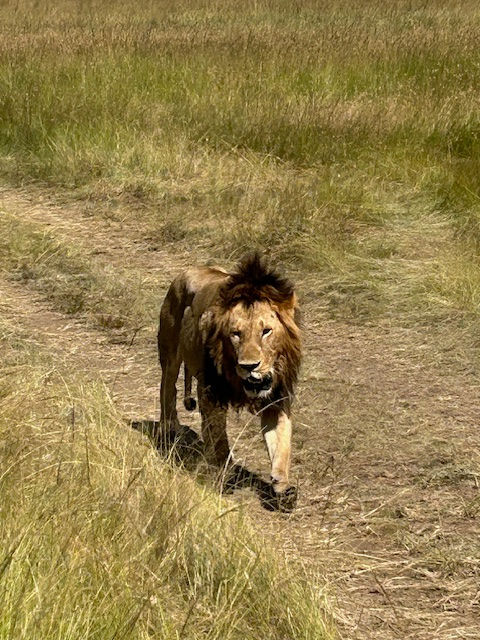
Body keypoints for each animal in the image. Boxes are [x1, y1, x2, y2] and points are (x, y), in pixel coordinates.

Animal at [157, 253, 302, 510]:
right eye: (236, 334)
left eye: (266, 331)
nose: (249, 366)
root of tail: (187, 271)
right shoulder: (211, 394)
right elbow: (219, 438)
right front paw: (225, 473)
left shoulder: (276, 398)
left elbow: (281, 445)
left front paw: (282, 488)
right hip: (170, 350)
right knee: (167, 388)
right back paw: (168, 428)